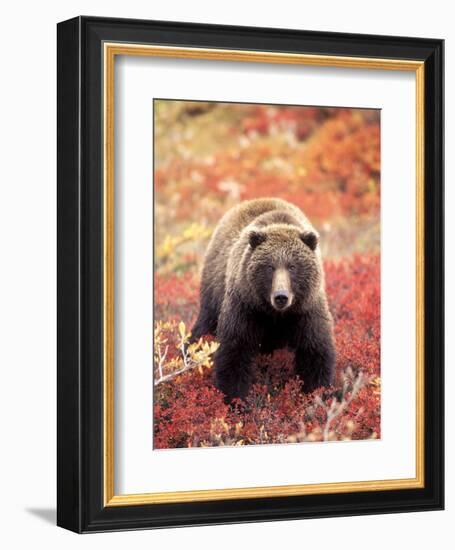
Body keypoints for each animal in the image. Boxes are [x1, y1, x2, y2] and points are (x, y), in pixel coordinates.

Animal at [191, 198, 336, 402]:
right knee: (205, 324)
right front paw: (235, 399)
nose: (281, 296)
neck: (275, 314)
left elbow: (315, 351)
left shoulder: (306, 309)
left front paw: (317, 394)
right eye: (270, 267)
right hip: (213, 288)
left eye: (292, 266)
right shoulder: (246, 306)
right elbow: (234, 351)